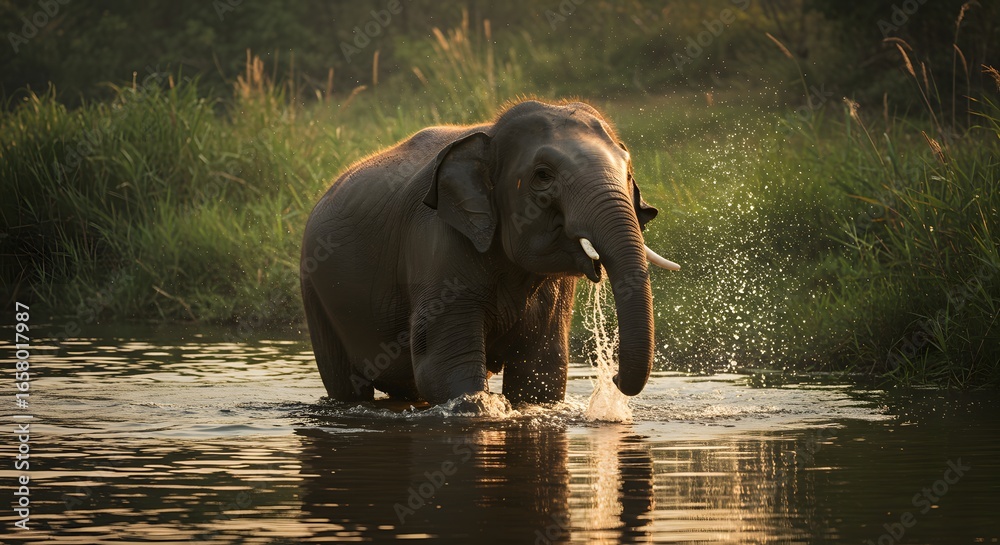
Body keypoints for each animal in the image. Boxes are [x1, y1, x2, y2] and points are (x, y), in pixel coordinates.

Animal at [300, 99, 679, 406]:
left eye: (628, 172)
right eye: (543, 176)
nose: (613, 377)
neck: (491, 135)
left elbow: (541, 372)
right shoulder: (437, 243)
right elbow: (443, 368)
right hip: (315, 292)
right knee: (347, 386)